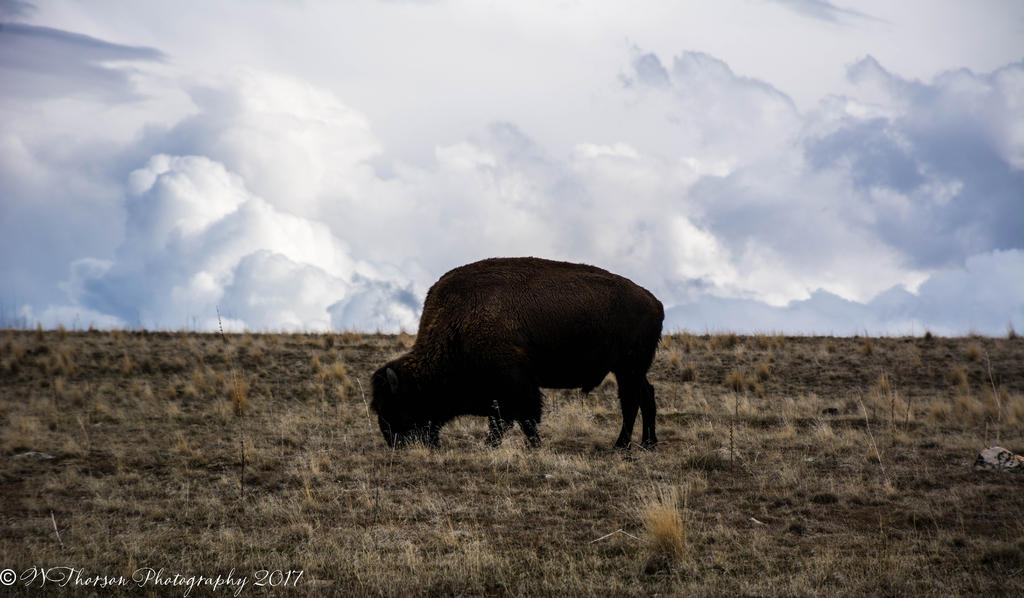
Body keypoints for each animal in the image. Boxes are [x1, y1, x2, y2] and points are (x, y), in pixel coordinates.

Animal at [368, 257, 663, 448]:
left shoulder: (515, 385)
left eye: (398, 404)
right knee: (646, 396)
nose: (394, 442)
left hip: (628, 368)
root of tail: (654, 301)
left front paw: (524, 445)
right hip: (632, 370)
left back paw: (622, 444)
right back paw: (648, 443)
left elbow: (519, 418)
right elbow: (512, 419)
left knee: (631, 401)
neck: (457, 325)